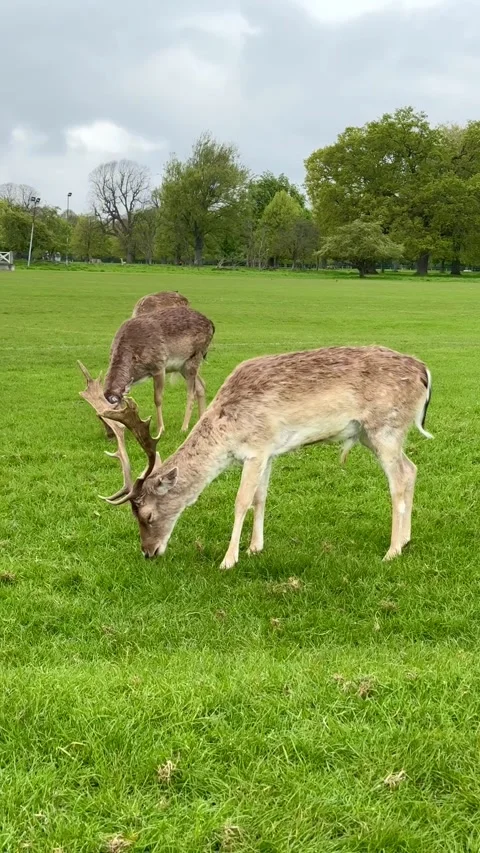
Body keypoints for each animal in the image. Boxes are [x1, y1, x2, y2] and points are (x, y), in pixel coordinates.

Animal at [91, 345, 433, 569]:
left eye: (147, 515)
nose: (148, 552)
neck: (227, 429)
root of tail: (425, 372)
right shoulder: (269, 451)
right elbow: (261, 496)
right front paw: (255, 548)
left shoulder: (254, 449)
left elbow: (241, 500)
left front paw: (229, 559)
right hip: (369, 434)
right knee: (413, 468)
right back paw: (406, 540)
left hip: (385, 427)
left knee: (399, 479)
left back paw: (392, 551)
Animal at [103, 305, 215, 435]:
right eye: (99, 415)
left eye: (115, 411)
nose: (110, 434)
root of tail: (211, 324)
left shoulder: (159, 366)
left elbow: (158, 399)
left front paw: (161, 428)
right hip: (183, 366)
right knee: (201, 385)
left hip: (194, 358)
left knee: (191, 393)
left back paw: (184, 427)